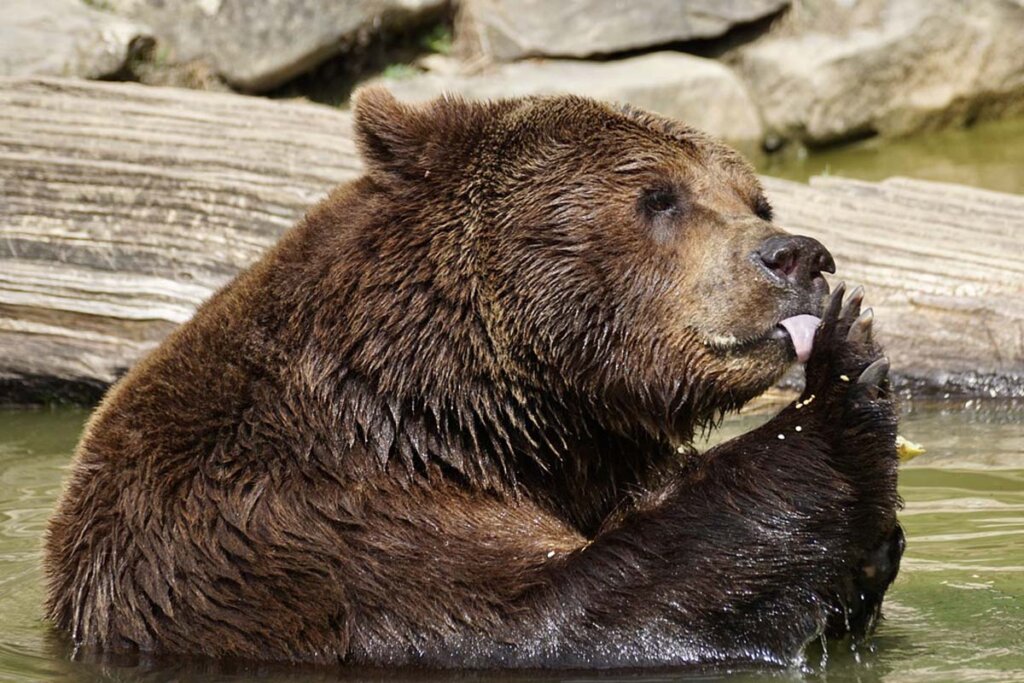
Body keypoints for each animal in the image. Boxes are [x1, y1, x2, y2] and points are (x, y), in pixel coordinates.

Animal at [44, 88, 901, 671]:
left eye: (757, 198)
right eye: (658, 196)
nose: (798, 255)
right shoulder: (301, 530)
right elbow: (552, 616)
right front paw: (846, 379)